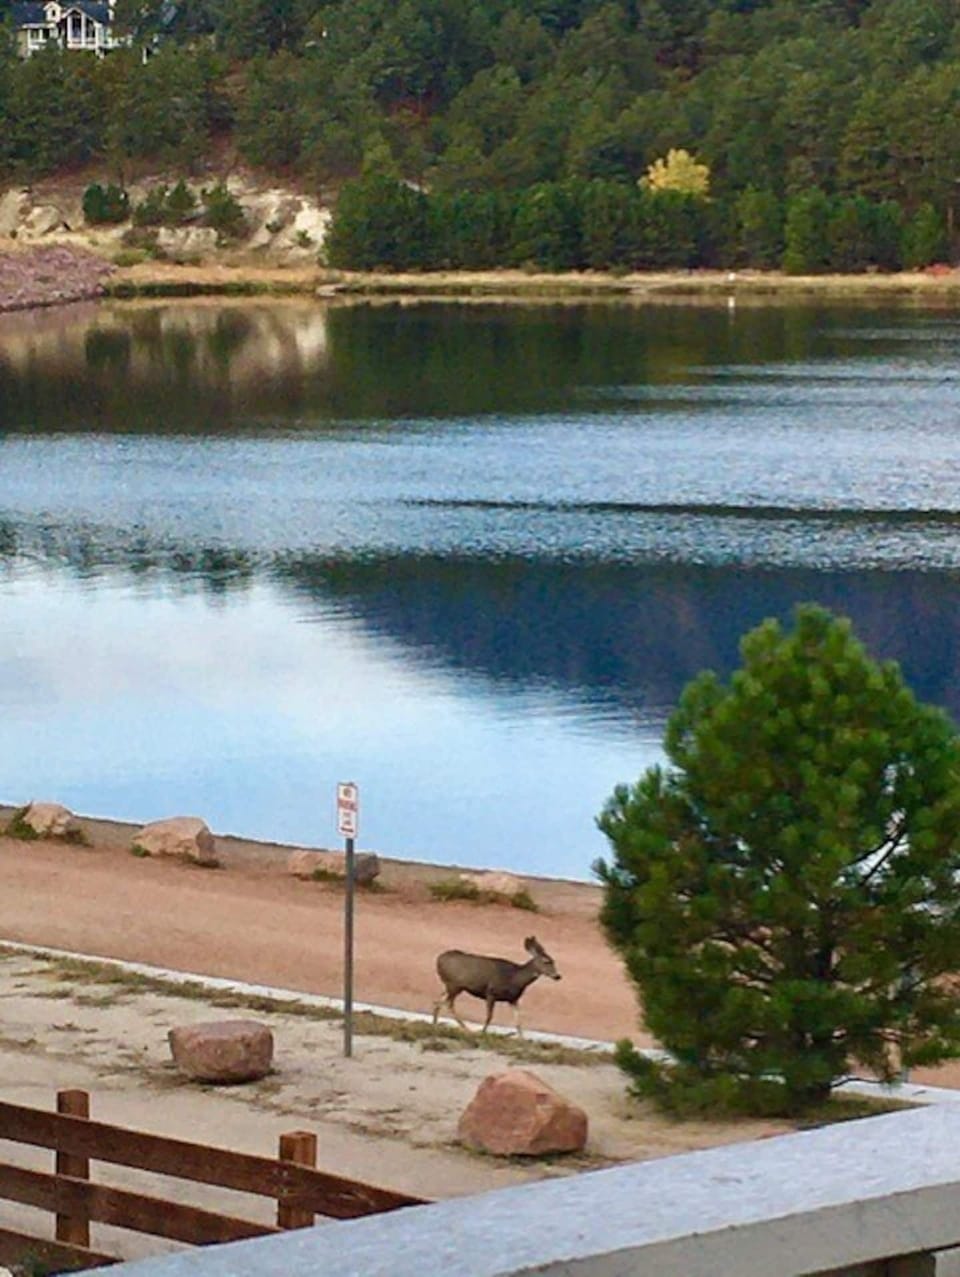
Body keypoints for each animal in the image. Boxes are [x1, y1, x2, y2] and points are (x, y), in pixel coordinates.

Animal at [431, 935, 561, 1037]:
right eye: (546, 961)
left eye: (553, 961)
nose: (558, 976)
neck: (516, 978)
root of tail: (439, 959)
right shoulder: (491, 992)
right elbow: (489, 1016)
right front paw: (482, 1033)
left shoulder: (513, 999)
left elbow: (518, 1022)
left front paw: (522, 1039)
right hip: (455, 985)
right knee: (448, 1004)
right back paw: (467, 1030)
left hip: (449, 985)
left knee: (439, 1001)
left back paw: (435, 1024)